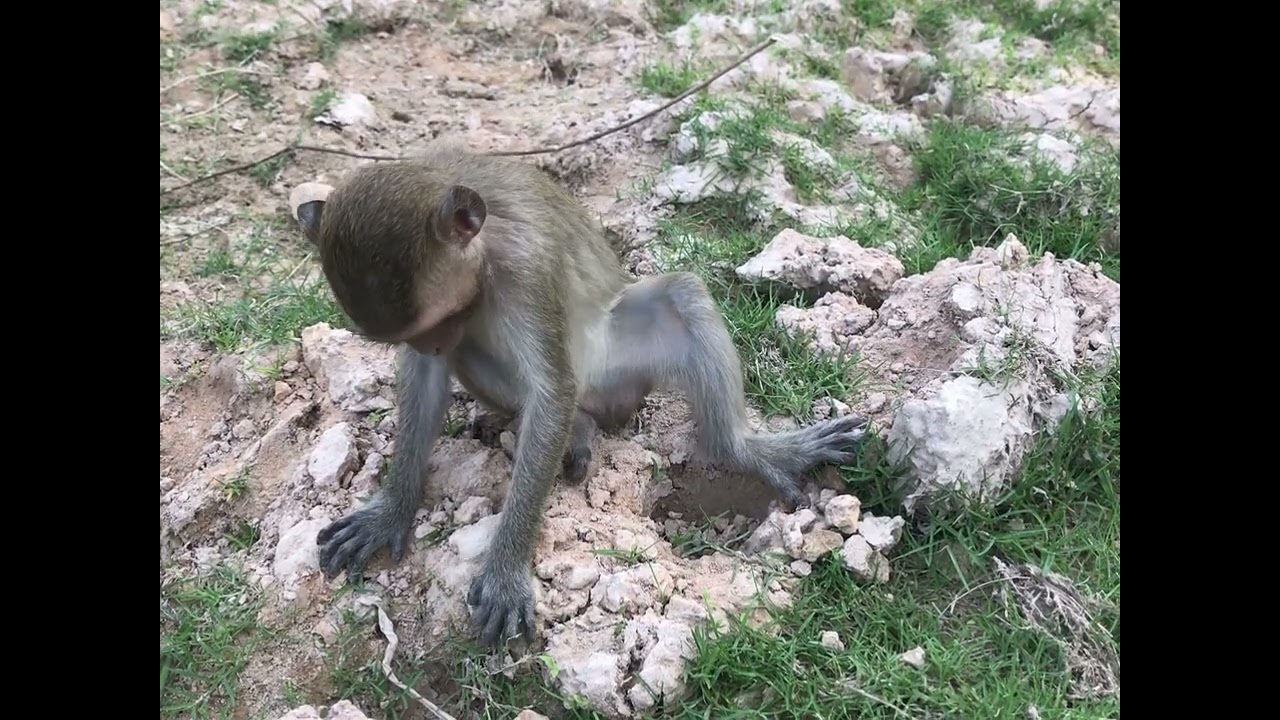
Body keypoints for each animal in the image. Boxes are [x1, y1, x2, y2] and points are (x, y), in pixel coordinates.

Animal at [295, 138, 868, 648]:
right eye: (415, 335)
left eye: (441, 319)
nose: (436, 342)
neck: (484, 250)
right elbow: (427, 380)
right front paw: (393, 508)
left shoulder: (524, 271)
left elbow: (552, 392)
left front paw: (506, 570)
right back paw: (576, 430)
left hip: (620, 374)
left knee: (678, 299)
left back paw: (742, 449)